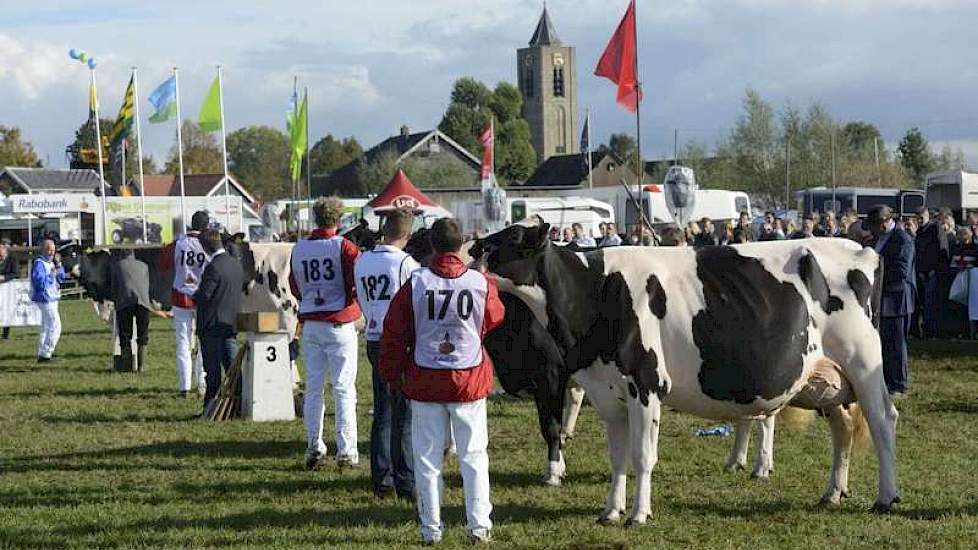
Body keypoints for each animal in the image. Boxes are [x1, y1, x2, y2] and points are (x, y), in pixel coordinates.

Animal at [472, 223, 900, 528]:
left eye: (512, 236)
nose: (473, 248)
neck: (596, 291)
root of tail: (862, 249)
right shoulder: (606, 391)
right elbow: (617, 457)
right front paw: (610, 511)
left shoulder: (645, 385)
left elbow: (642, 455)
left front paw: (638, 515)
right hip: (829, 381)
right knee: (843, 430)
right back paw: (833, 492)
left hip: (864, 364)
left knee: (883, 423)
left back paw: (886, 497)